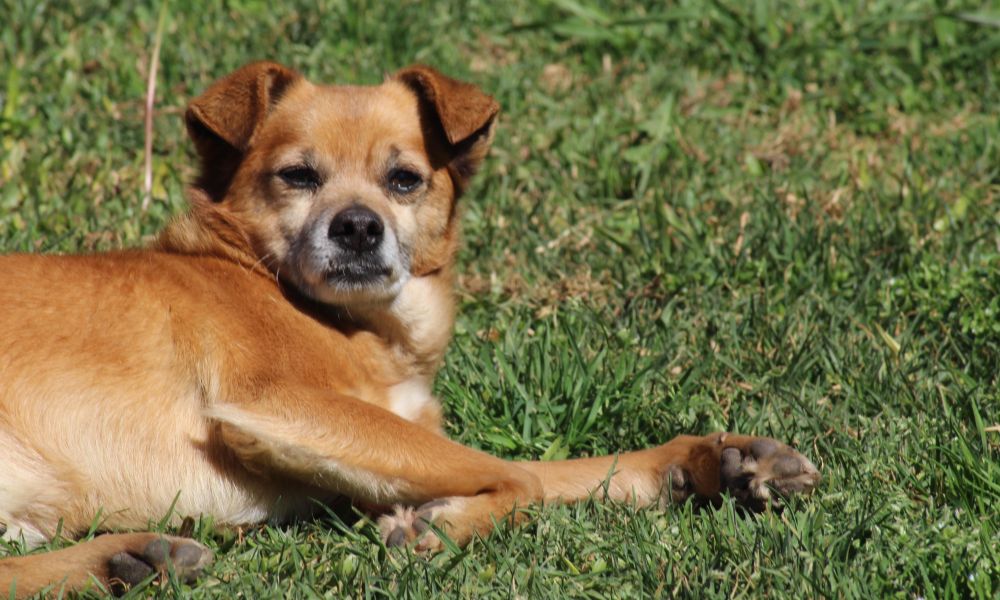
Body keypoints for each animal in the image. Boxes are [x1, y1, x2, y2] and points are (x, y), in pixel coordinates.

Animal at [0, 61, 820, 596]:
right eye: (298, 176)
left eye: (404, 179)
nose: (359, 228)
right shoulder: (277, 405)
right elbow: (519, 475)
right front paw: (444, 526)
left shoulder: (382, 448)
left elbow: (560, 471)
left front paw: (714, 463)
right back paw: (123, 561)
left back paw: (130, 560)